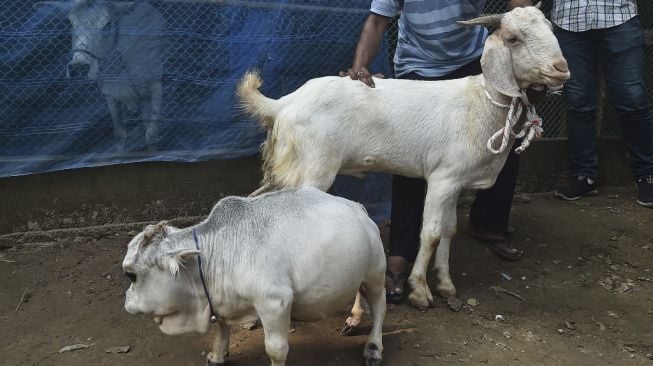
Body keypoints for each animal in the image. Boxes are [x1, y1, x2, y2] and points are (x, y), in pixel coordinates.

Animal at [123, 189, 388, 366]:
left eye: (131, 275)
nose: (126, 301)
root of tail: (358, 207)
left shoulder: (275, 302)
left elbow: (276, 349)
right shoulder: (224, 303)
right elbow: (222, 326)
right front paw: (217, 355)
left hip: (376, 272)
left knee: (379, 306)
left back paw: (373, 347)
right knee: (359, 292)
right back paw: (353, 319)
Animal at [237, 5, 568, 308]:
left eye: (551, 28)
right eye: (512, 38)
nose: (561, 68)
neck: (481, 102)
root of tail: (282, 104)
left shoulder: (456, 180)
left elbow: (449, 230)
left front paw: (446, 284)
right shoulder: (442, 178)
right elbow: (431, 234)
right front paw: (419, 290)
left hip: (290, 167)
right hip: (314, 167)